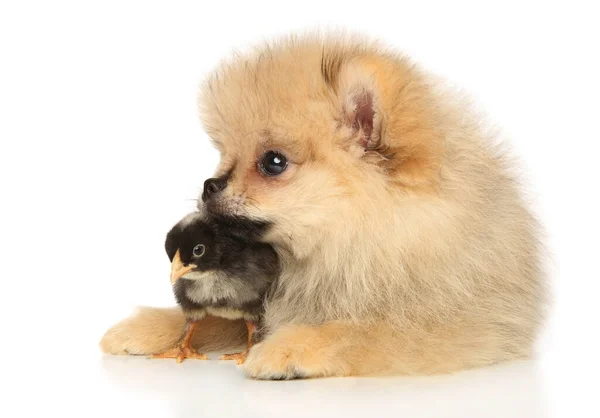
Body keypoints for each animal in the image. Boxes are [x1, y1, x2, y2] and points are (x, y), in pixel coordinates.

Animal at [101, 32, 548, 378]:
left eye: (273, 162)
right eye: (224, 156)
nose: (211, 184)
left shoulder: (458, 324)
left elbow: (357, 330)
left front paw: (289, 346)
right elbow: (211, 317)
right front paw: (147, 327)